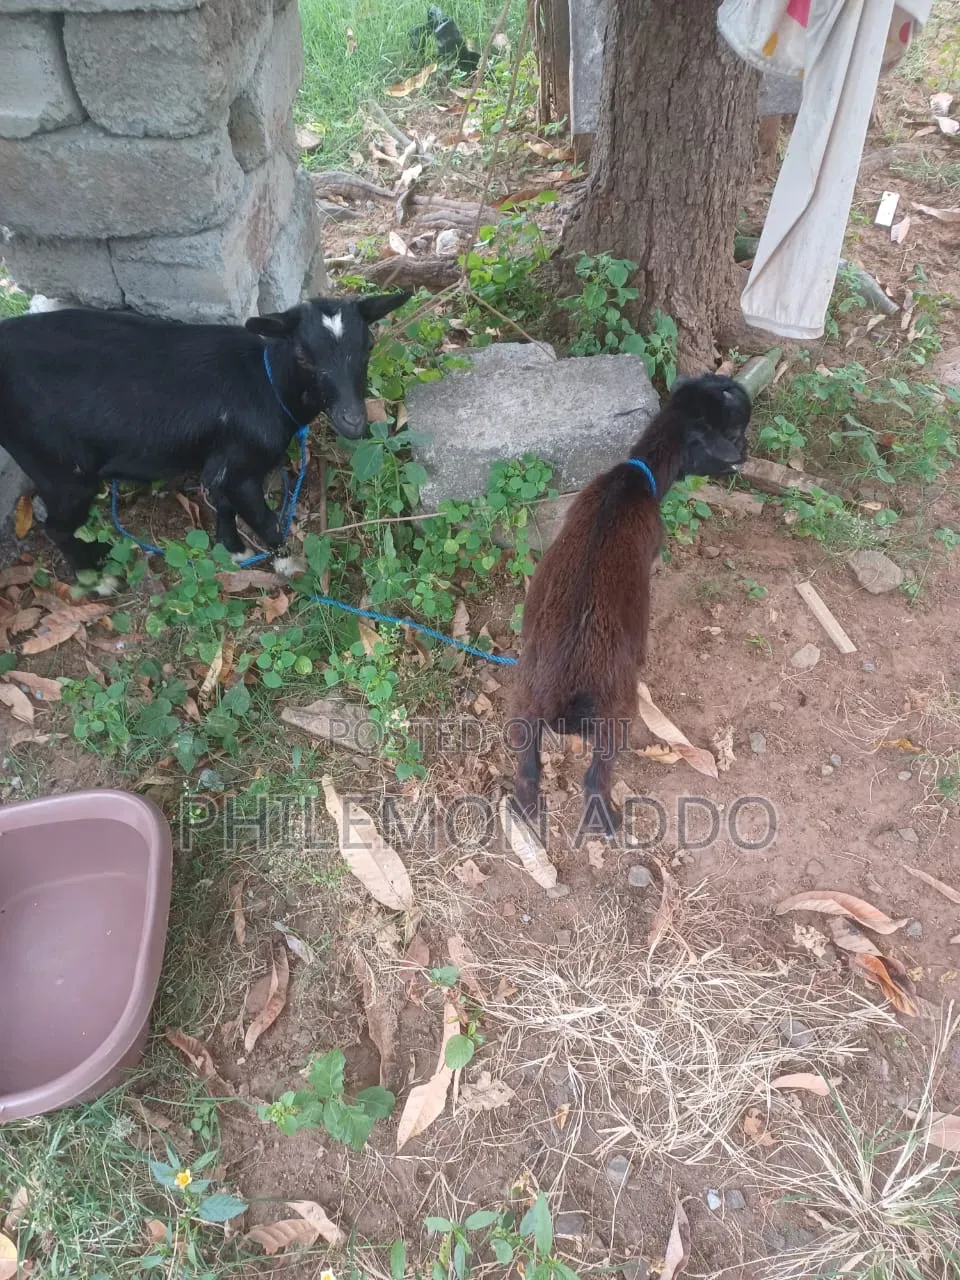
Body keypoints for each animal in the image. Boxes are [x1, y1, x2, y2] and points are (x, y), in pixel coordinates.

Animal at [0, 292, 411, 577]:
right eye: (304, 356)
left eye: (368, 346)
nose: (353, 421)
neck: (266, 382)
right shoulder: (242, 466)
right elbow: (263, 519)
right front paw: (287, 563)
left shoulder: (222, 461)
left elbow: (223, 502)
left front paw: (233, 549)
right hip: (61, 467)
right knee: (55, 527)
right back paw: (95, 576)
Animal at [508, 373, 752, 839]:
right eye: (733, 433)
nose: (746, 453)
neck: (636, 477)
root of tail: (567, 692)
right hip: (615, 716)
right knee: (594, 778)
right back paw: (609, 821)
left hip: (525, 707)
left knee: (528, 771)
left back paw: (524, 813)